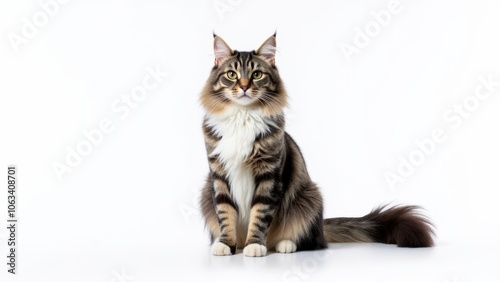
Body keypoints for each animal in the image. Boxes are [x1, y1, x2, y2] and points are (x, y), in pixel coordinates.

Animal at [199, 34, 434, 256]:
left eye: (257, 75)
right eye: (232, 75)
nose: (244, 87)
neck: (243, 115)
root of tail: (321, 227)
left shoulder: (269, 174)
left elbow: (260, 214)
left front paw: (255, 245)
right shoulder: (219, 175)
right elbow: (225, 213)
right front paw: (226, 244)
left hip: (309, 197)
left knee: (312, 241)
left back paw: (285, 244)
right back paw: (239, 244)